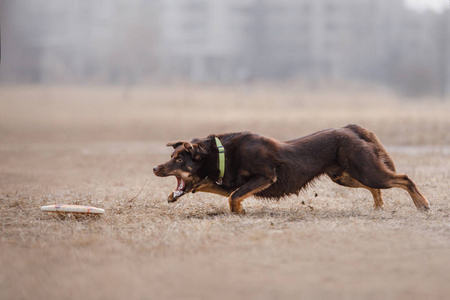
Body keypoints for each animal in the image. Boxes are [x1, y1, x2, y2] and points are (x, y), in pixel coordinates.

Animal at [153, 123, 430, 213]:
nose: (155, 168)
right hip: (345, 176)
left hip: (365, 171)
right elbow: (221, 190)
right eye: (172, 156)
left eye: (180, 160)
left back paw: (422, 205)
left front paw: (238, 214)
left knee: (404, 178)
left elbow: (233, 197)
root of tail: (350, 128)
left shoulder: (266, 176)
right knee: (377, 188)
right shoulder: (228, 183)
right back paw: (378, 206)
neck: (221, 154)